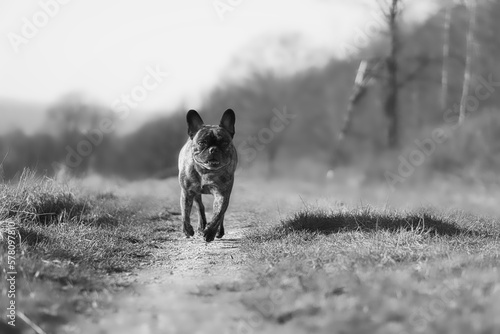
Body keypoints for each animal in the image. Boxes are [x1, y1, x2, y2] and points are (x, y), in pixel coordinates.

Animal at [178, 109, 236, 243]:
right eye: (202, 142)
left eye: (224, 143)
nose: (213, 149)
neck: (206, 171)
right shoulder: (186, 192)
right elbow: (185, 213)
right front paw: (187, 230)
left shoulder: (222, 194)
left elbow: (218, 214)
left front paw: (210, 232)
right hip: (195, 193)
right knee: (200, 207)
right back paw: (200, 227)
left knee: (220, 215)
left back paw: (218, 231)